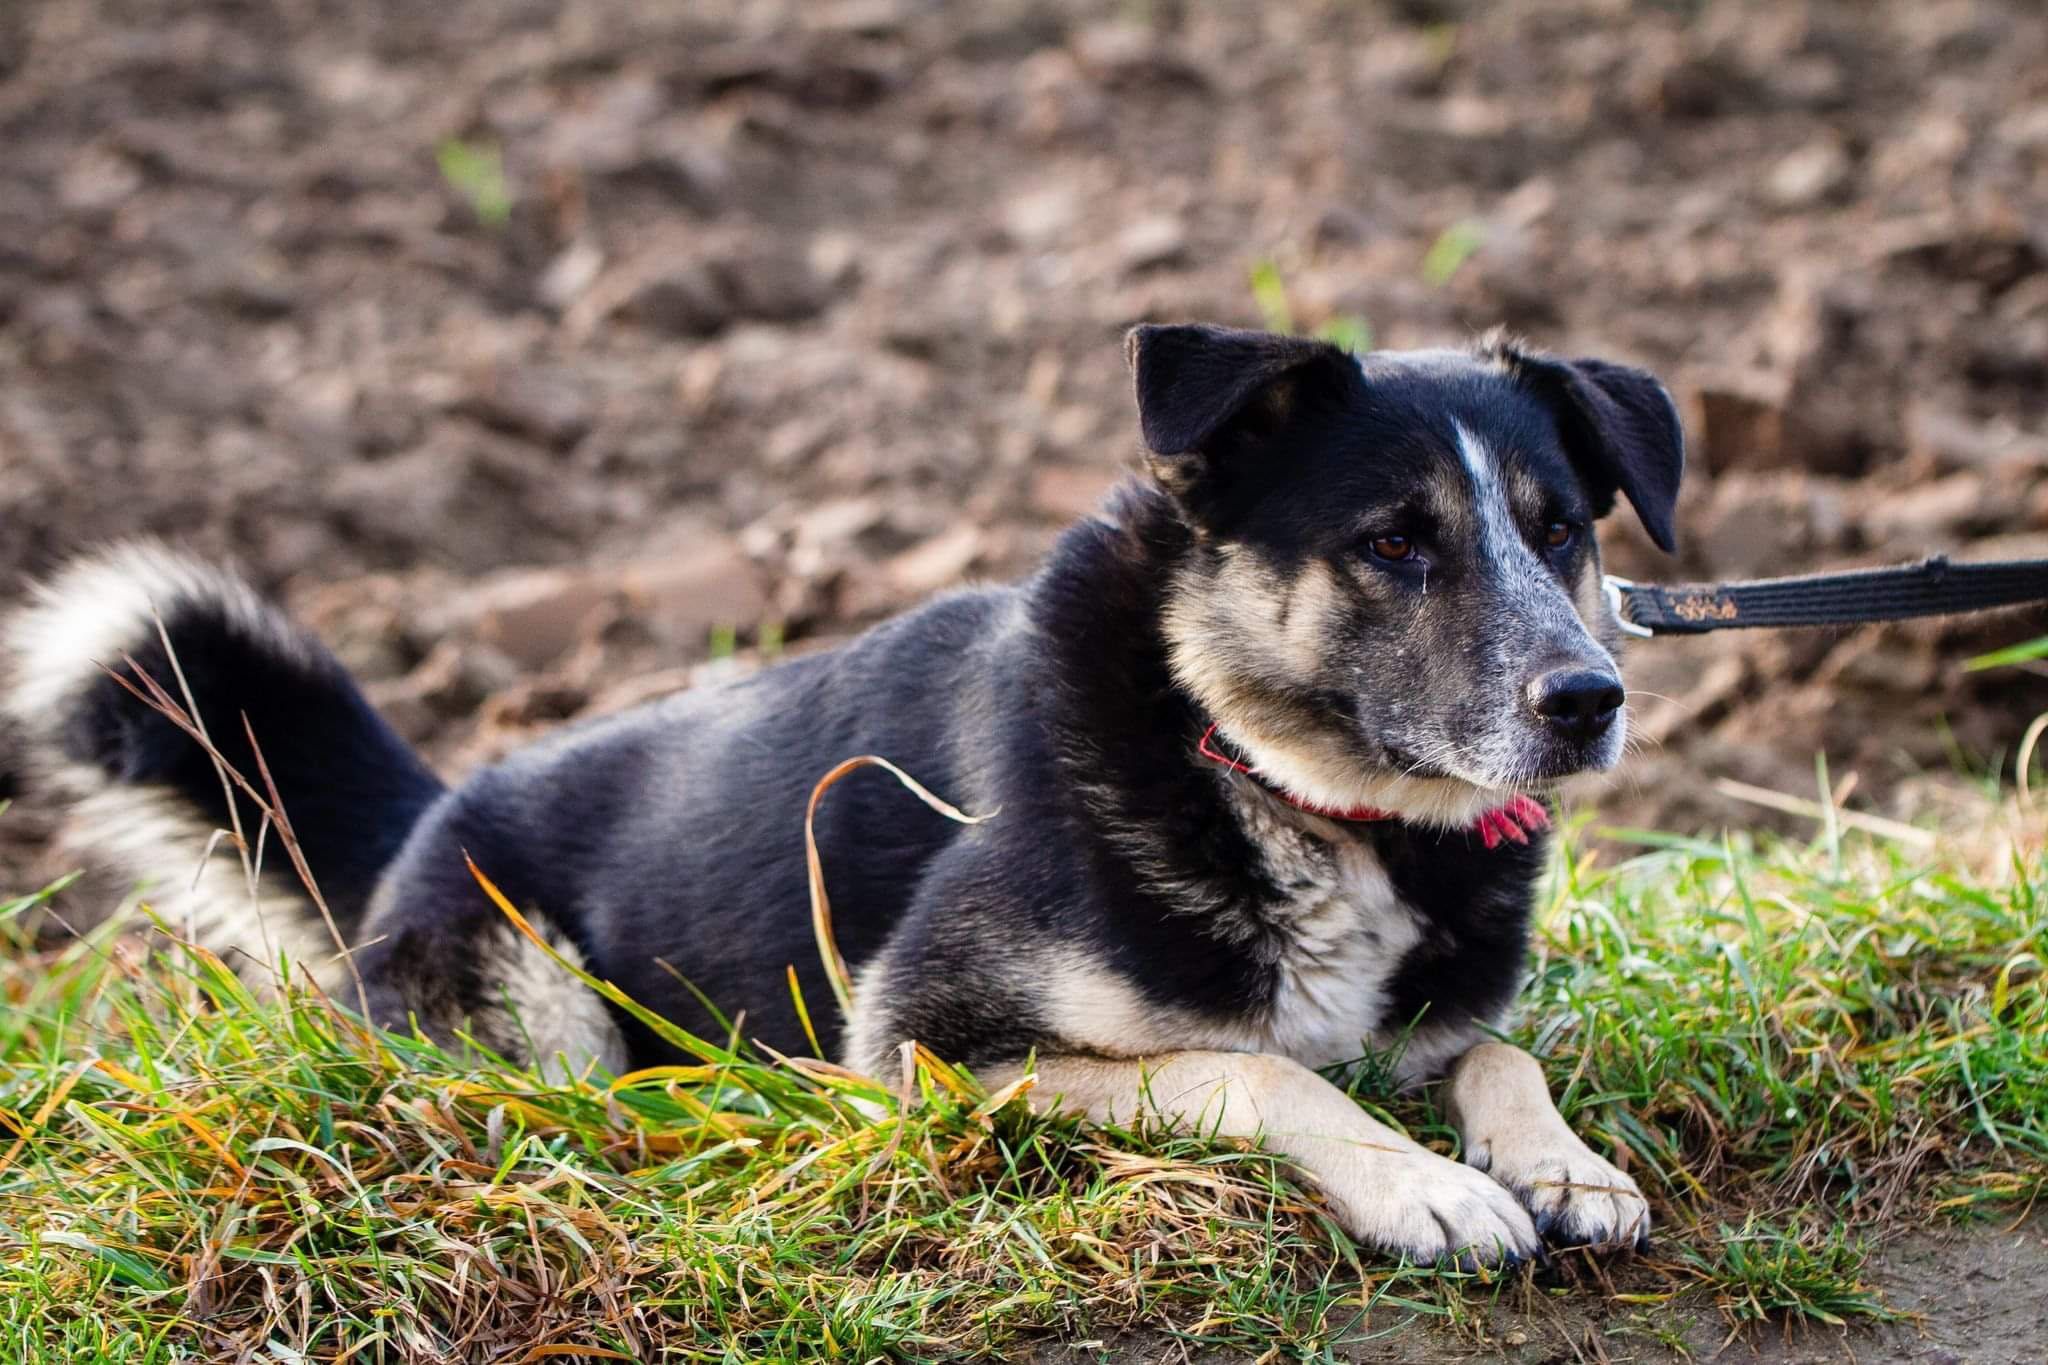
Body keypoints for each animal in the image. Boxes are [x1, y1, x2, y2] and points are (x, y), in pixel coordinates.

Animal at [4, 325, 1679, 1268]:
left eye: (1560, 528)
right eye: (1394, 541)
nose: (1588, 700)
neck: (1261, 768)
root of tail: (430, 813)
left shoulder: (1437, 1022)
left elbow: (1497, 1054)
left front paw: (1565, 1165)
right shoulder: (930, 1049)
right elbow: (1261, 1073)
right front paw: (1429, 1192)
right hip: (537, 1016)